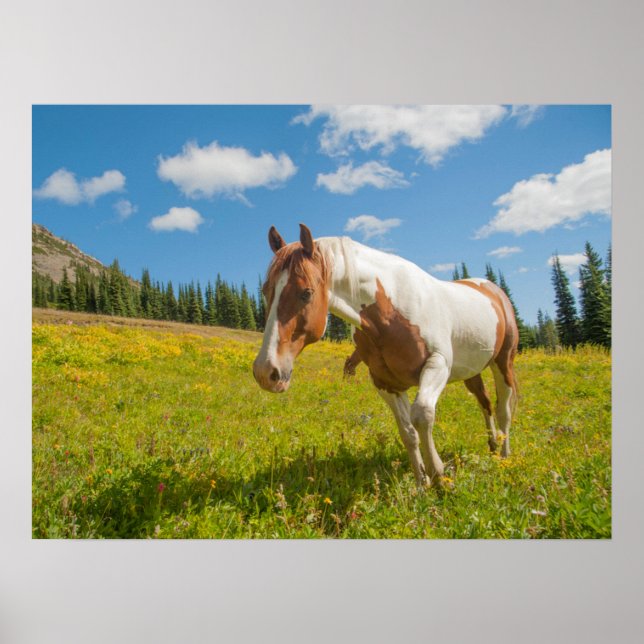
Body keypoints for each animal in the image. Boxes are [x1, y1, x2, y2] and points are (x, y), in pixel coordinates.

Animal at [252, 223, 518, 487]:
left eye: (306, 293)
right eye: (265, 290)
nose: (266, 371)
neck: (389, 313)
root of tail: (494, 291)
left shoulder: (438, 365)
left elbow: (422, 415)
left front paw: (439, 475)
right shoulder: (385, 383)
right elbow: (408, 432)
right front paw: (422, 483)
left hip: (502, 363)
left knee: (503, 409)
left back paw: (504, 457)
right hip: (471, 371)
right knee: (485, 403)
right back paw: (492, 446)